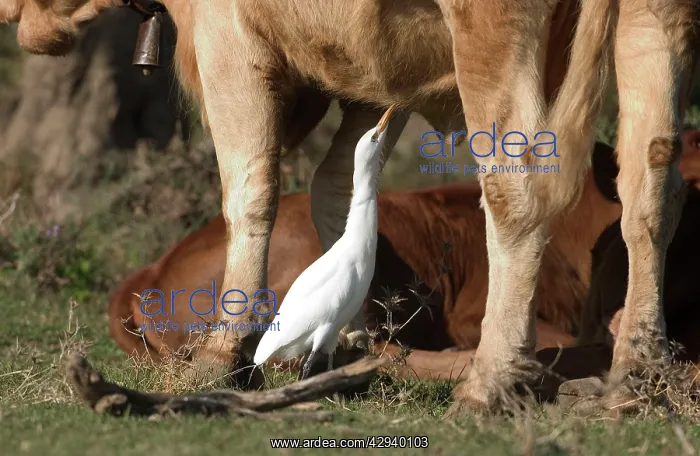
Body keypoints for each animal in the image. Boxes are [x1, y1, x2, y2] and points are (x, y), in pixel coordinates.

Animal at [3, 0, 697, 414]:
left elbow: (250, 188)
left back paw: (491, 378)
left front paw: (226, 350)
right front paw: (351, 334)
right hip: (655, 22)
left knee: (517, 186)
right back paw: (636, 373)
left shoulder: (228, 32)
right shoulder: (376, 74)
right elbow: (338, 183)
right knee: (652, 190)